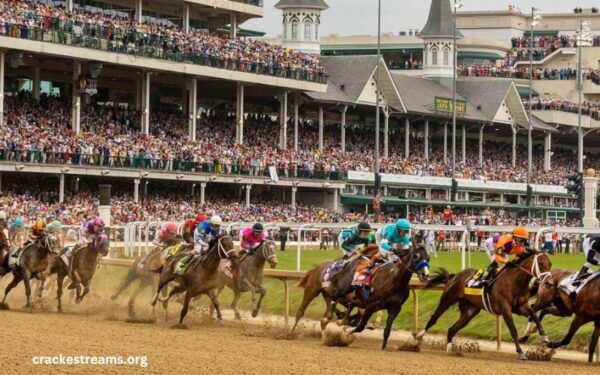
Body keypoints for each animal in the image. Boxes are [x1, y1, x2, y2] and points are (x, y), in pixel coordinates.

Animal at [414, 250, 552, 362]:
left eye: (550, 264)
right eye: (540, 263)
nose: (549, 283)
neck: (514, 282)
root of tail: (455, 275)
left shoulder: (520, 307)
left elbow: (535, 316)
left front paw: (545, 338)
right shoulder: (505, 309)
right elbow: (513, 330)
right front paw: (520, 352)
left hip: (470, 312)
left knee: (452, 329)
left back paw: (449, 349)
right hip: (447, 299)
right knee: (433, 318)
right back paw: (418, 337)